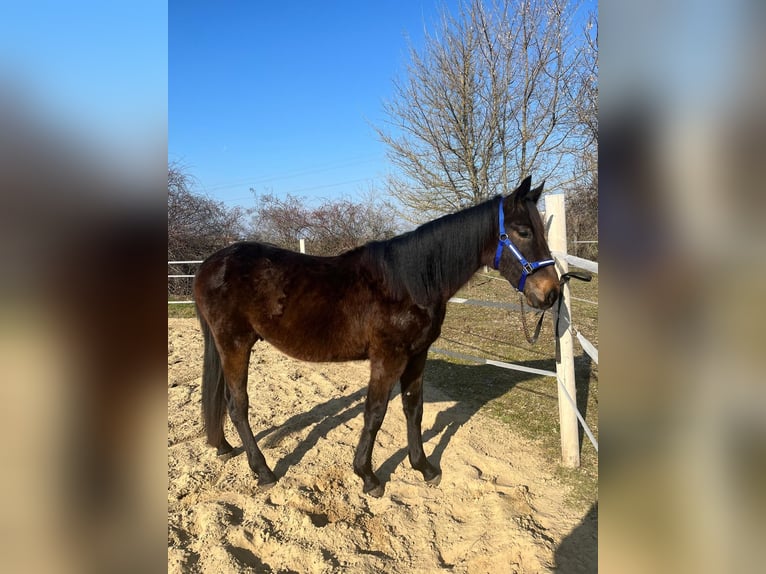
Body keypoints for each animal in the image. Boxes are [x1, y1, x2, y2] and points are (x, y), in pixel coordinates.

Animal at [195, 177, 560, 500]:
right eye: (523, 231)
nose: (551, 293)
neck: (410, 282)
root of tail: (209, 264)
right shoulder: (388, 358)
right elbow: (375, 413)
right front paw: (368, 476)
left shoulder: (417, 356)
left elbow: (414, 409)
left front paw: (424, 468)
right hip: (235, 345)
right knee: (238, 405)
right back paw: (263, 471)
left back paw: (225, 447)